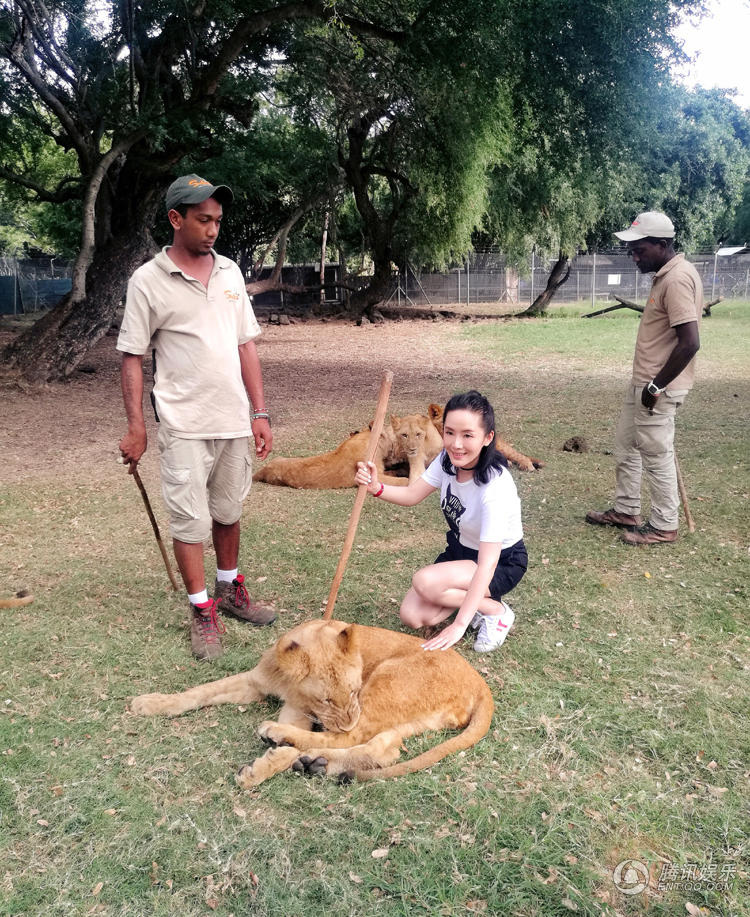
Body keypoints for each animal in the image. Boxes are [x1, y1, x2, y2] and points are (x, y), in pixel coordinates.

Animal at [132, 620, 496, 784]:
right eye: (326, 699)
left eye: (353, 691)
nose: (346, 719)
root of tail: (480, 683)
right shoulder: (255, 682)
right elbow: (201, 691)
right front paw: (150, 704)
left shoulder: (302, 714)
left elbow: (314, 736)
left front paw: (261, 766)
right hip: (407, 716)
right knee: (383, 749)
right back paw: (315, 763)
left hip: (387, 679)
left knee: (351, 738)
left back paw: (282, 743)